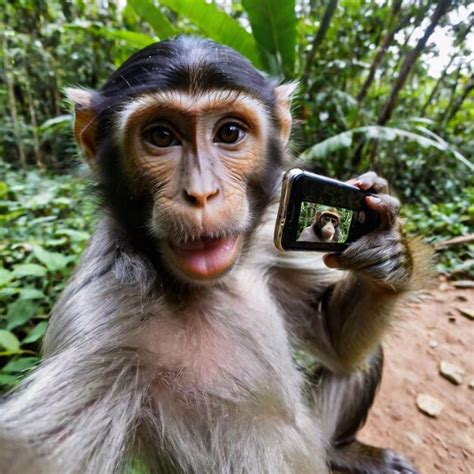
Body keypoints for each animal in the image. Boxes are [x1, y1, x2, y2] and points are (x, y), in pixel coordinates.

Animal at [0, 38, 430, 474]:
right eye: (161, 136)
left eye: (230, 132)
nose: (202, 192)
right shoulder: (102, 316)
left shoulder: (264, 244)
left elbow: (335, 338)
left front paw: (385, 246)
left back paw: (343, 450)